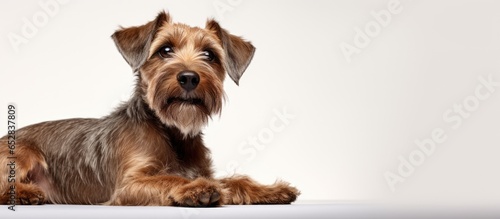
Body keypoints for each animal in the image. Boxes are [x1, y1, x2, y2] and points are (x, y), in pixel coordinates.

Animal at [0, 11, 298, 206]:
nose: (189, 78)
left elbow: (234, 182)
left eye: (210, 55)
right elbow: (170, 179)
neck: (172, 133)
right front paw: (194, 190)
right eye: (164, 50)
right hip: (23, 154)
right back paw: (26, 193)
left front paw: (270, 190)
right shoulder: (129, 186)